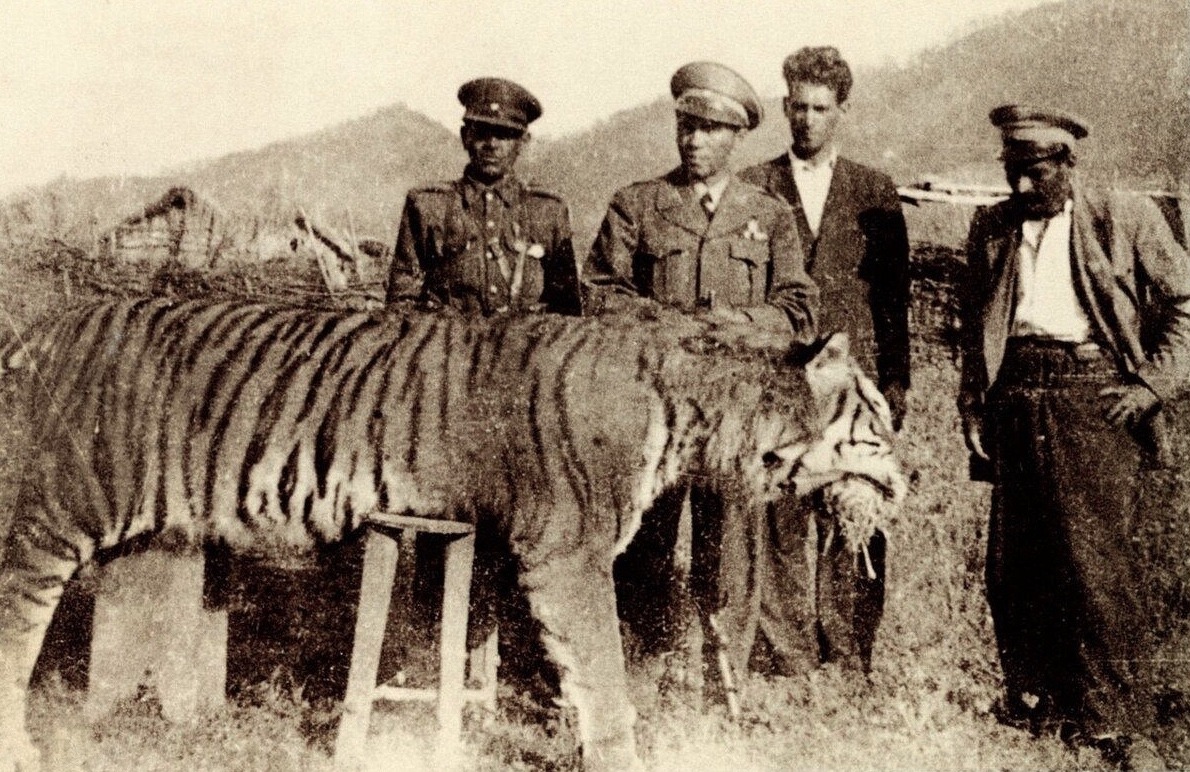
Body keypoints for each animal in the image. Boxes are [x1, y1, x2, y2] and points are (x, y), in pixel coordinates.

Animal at [0, 296, 904, 772]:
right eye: (877, 415)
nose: (911, 476)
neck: (702, 415)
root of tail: (50, 319)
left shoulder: (518, 554)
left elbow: (516, 665)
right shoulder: (568, 556)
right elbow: (605, 677)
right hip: (54, 511)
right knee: (14, 626)